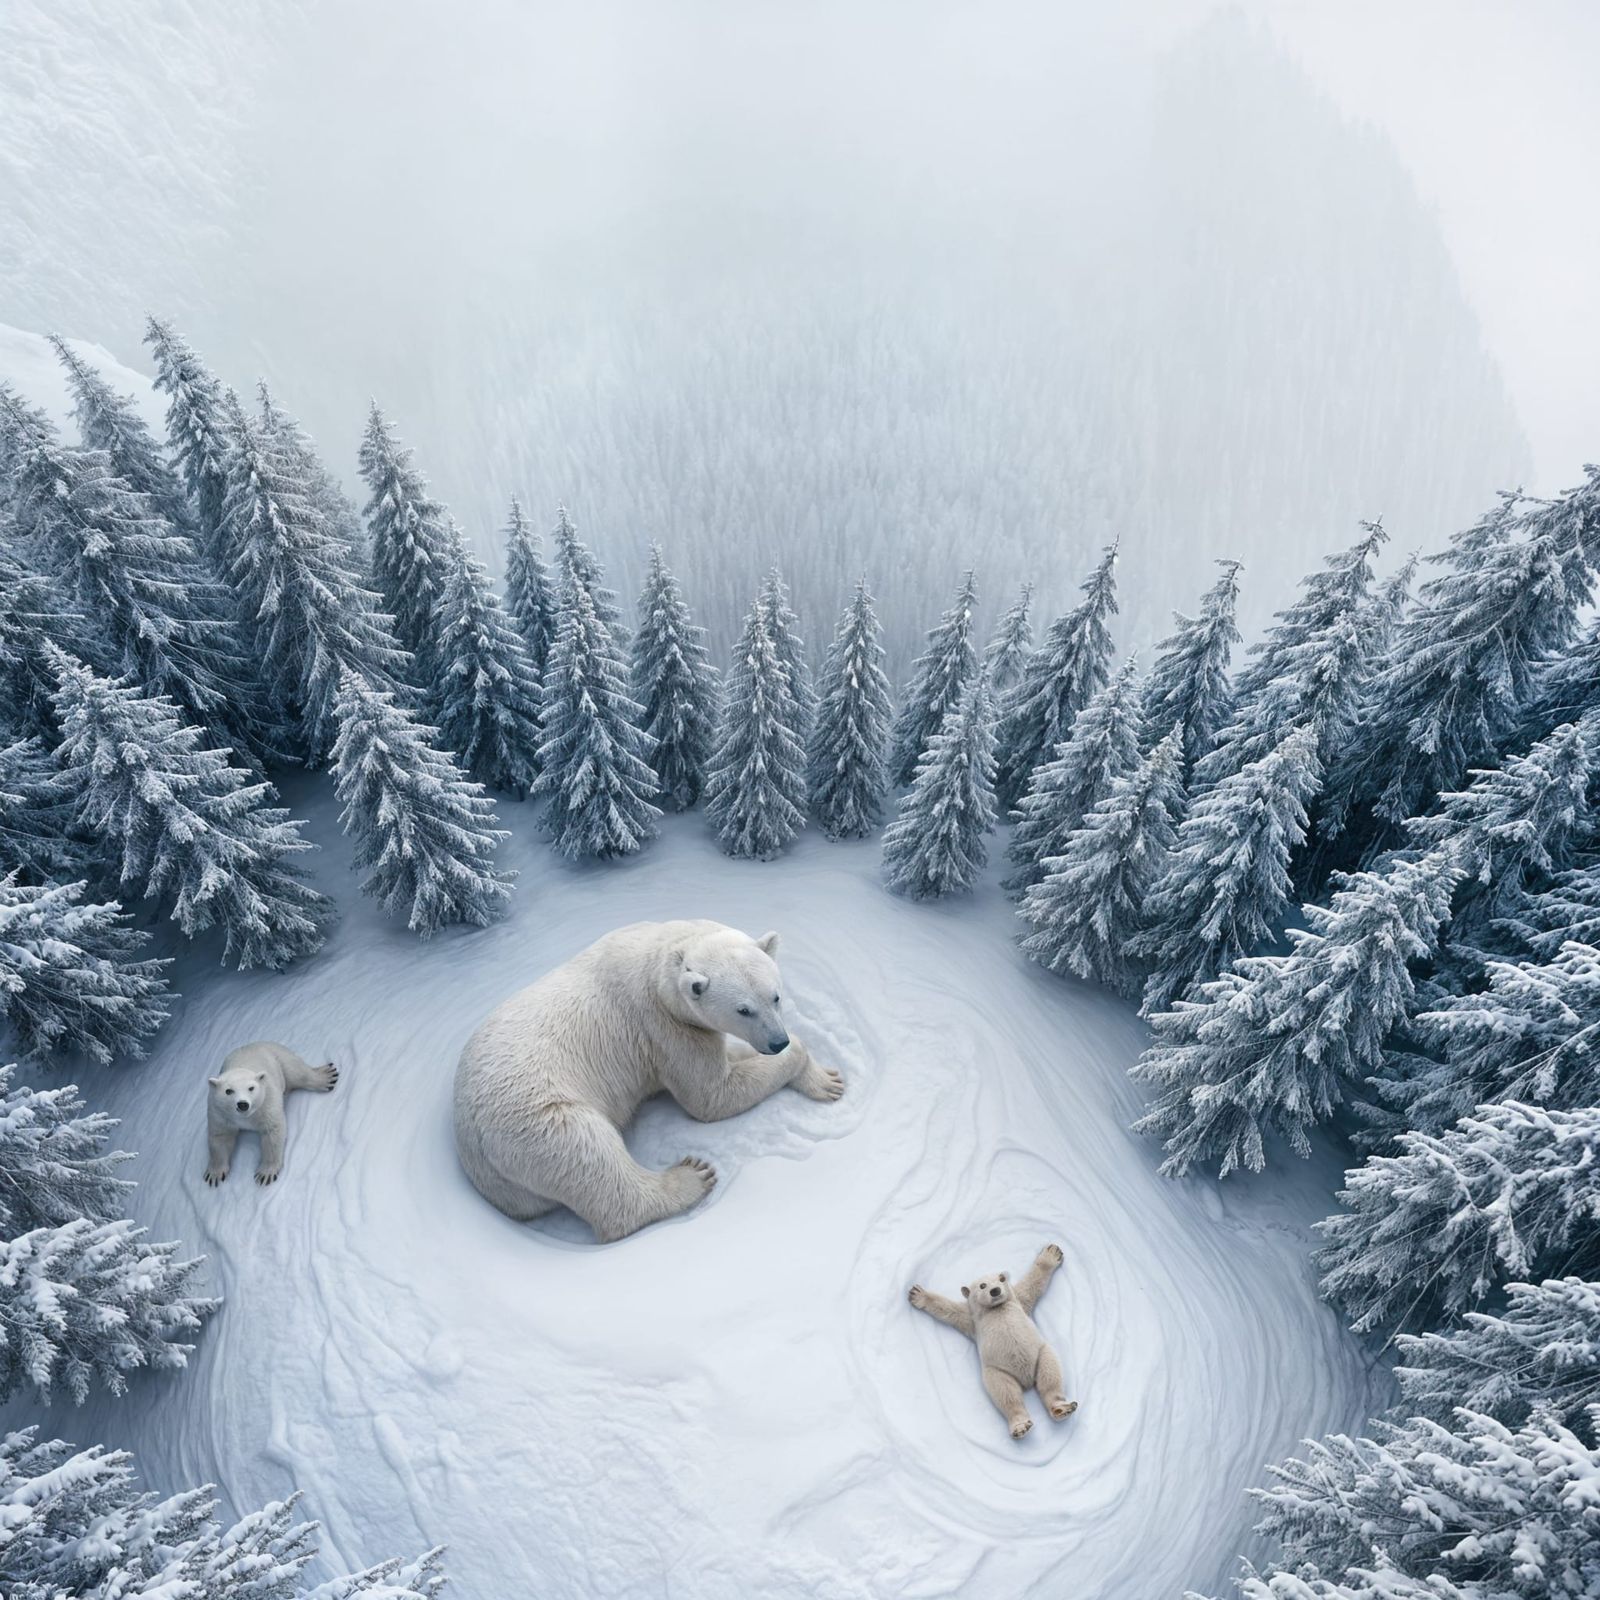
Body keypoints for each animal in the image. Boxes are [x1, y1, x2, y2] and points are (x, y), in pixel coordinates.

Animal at [205, 1041, 339, 1187]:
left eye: (251, 1088)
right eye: (228, 1091)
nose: (243, 1104)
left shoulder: (267, 1101)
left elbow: (272, 1133)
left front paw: (265, 1174)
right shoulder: (218, 1112)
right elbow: (220, 1137)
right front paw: (214, 1174)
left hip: (280, 1057)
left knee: (296, 1071)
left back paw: (327, 1076)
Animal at [452, 920, 844, 1242]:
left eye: (775, 996)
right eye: (743, 1009)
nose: (777, 1042)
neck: (662, 957)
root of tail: (471, 1145)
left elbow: (729, 1059)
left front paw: (827, 1079)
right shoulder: (662, 1026)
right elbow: (710, 1095)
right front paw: (806, 1063)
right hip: (537, 1121)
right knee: (591, 1156)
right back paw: (691, 1177)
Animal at [909, 1243, 1078, 1439]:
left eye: (1002, 1278)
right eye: (982, 1285)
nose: (995, 1290)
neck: (995, 1308)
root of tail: (1026, 1380)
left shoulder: (1017, 1301)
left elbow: (1032, 1284)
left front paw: (1052, 1253)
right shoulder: (973, 1320)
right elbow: (949, 1309)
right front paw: (918, 1294)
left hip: (1041, 1353)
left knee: (1049, 1376)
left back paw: (1061, 1408)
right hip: (997, 1370)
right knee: (1006, 1393)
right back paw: (1021, 1425)